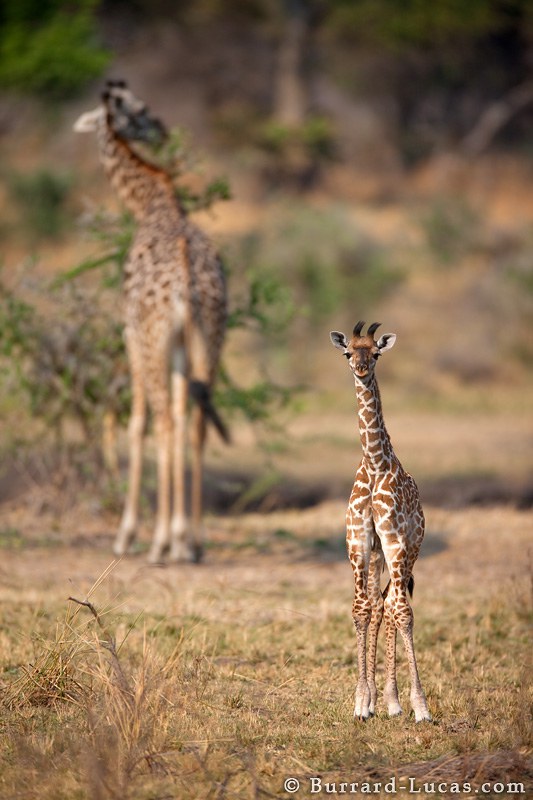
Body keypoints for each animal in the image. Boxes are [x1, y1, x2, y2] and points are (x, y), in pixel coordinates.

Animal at [330, 322, 430, 720]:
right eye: (347, 352)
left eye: (375, 353)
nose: (360, 370)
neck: (374, 463)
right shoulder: (358, 541)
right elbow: (361, 610)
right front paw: (361, 701)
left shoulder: (394, 539)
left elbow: (402, 612)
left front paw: (420, 706)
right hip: (376, 556)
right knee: (377, 604)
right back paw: (378, 699)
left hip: (408, 550)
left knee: (392, 604)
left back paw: (394, 701)